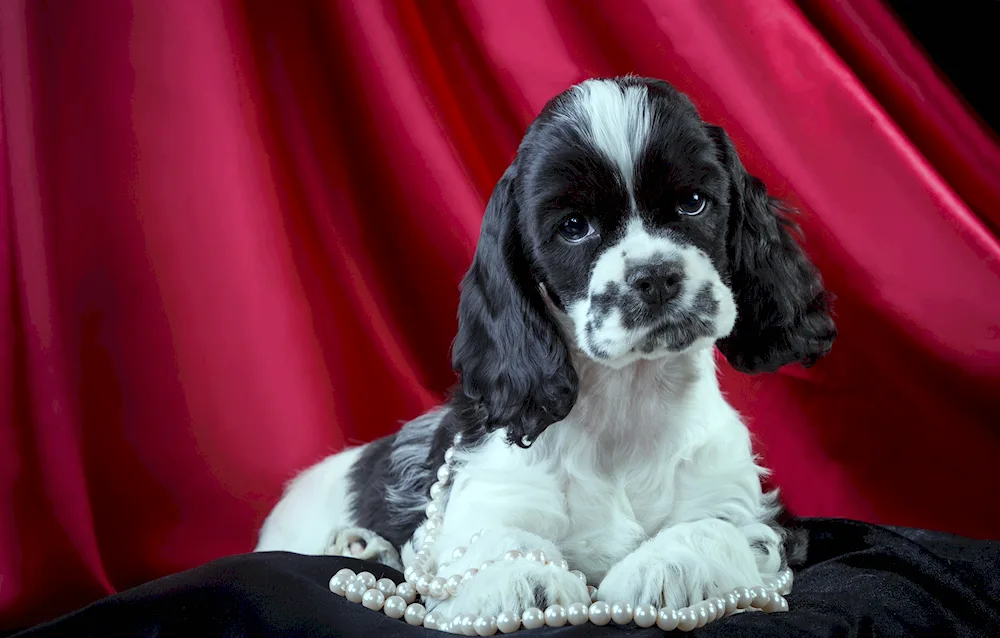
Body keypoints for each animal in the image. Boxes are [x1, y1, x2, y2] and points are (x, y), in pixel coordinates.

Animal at [254, 75, 832, 620]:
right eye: (574, 227)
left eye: (693, 203)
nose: (655, 276)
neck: (626, 404)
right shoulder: (490, 490)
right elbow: (496, 537)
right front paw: (518, 578)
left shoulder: (744, 503)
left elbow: (714, 528)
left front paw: (662, 567)